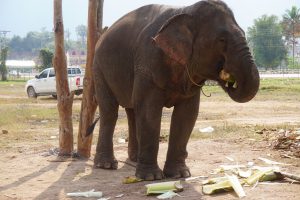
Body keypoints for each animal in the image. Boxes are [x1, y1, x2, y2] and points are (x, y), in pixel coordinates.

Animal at [92, 0, 258, 180]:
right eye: (221, 39)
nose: (230, 81)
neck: (186, 10)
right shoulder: (147, 62)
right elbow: (149, 111)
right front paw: (151, 177)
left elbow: (187, 114)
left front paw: (179, 174)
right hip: (99, 68)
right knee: (110, 111)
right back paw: (106, 165)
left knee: (132, 111)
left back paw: (134, 159)